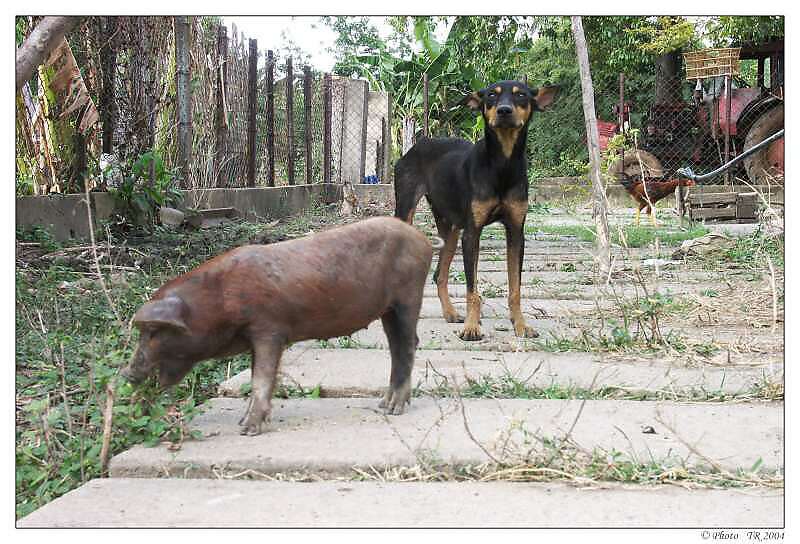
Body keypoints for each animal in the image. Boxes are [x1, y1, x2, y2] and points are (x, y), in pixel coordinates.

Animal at [120, 217, 432, 434]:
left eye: (153, 332)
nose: (126, 373)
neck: (217, 301)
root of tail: (423, 240)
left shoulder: (269, 328)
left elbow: (262, 377)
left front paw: (248, 430)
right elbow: (256, 375)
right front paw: (241, 422)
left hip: (408, 297)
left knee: (407, 345)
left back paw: (393, 410)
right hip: (388, 310)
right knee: (398, 346)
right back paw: (383, 405)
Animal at [392, 79, 556, 340]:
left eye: (521, 95)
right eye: (491, 95)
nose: (504, 111)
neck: (502, 165)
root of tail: (421, 142)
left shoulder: (516, 232)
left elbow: (515, 288)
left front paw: (520, 325)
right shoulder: (472, 233)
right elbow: (472, 288)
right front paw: (471, 326)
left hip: (450, 228)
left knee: (439, 274)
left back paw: (450, 313)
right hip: (406, 210)